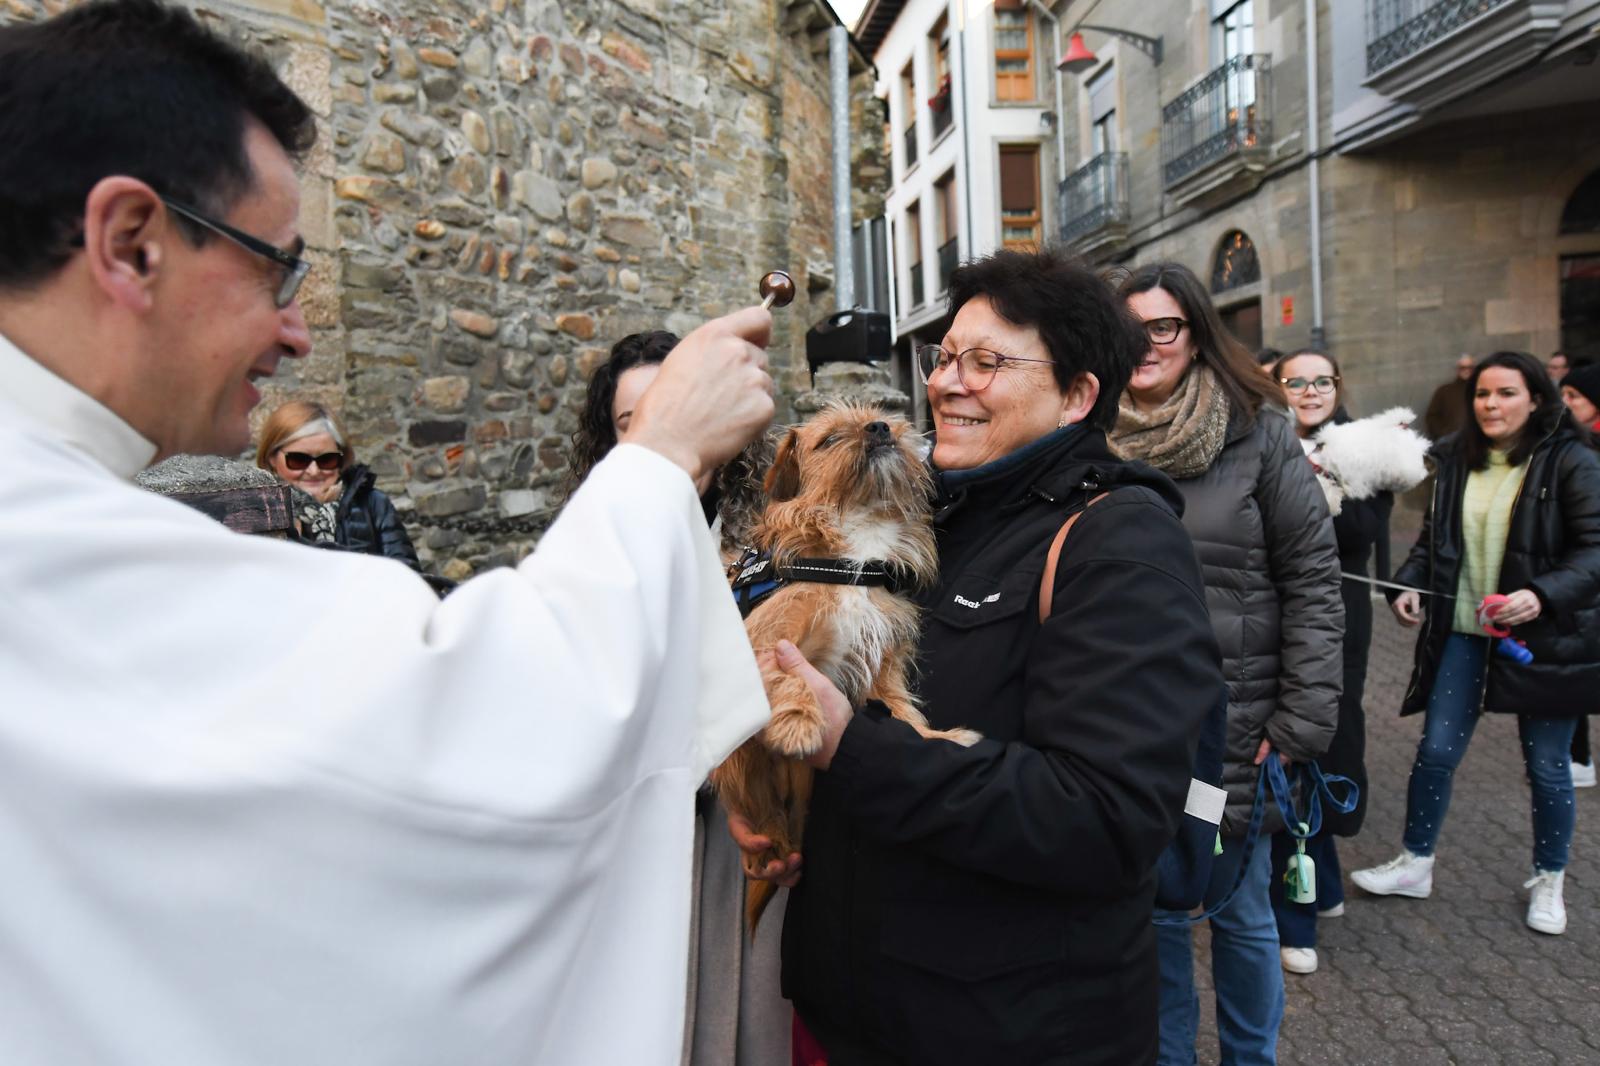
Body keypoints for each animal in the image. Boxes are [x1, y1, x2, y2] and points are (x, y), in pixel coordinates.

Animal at [713, 403, 972, 928]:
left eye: (885, 416)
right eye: (830, 439)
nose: (881, 428)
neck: (854, 548)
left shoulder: (879, 669)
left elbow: (906, 718)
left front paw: (941, 740)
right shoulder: (762, 645)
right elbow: (789, 676)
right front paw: (799, 722)